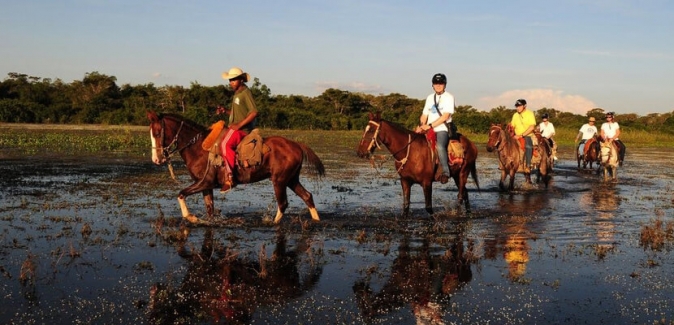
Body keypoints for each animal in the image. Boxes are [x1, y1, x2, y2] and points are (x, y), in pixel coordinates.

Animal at [148, 110, 326, 223]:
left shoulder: (205, 182)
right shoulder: (206, 186)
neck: (198, 147)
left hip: (280, 181)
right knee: (307, 196)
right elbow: (209, 209)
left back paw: (272, 224)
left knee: (283, 204)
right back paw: (316, 220)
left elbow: (181, 194)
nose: (156, 159)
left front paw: (190, 217)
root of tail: (297, 145)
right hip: (291, 179)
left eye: (157, 133)